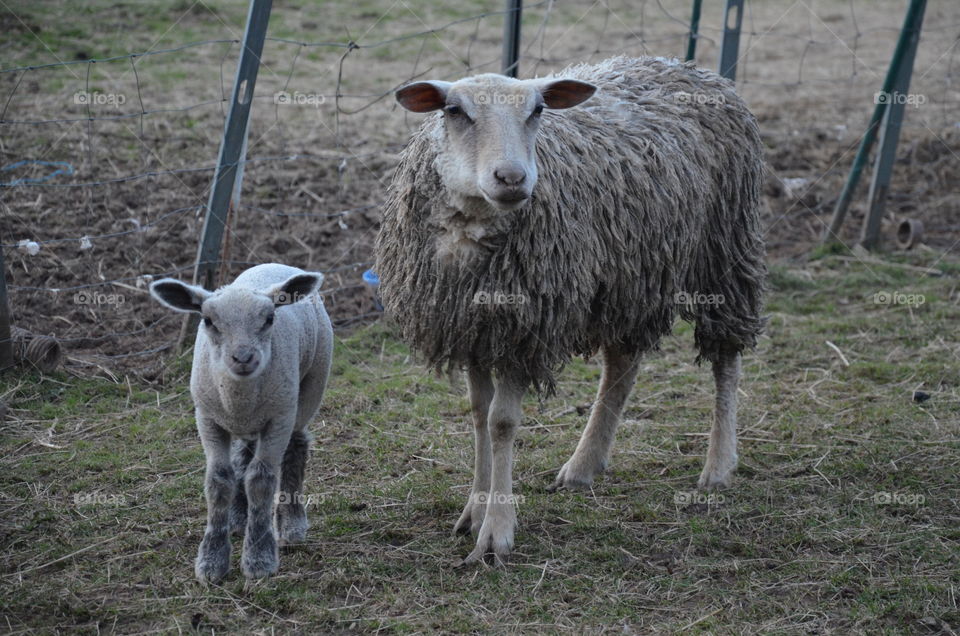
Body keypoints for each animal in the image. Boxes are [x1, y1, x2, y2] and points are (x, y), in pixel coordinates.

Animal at [149, 263, 333, 582]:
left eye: (270, 318)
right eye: (208, 320)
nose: (243, 357)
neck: (238, 395)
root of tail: (276, 264)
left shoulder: (279, 418)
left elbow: (261, 479)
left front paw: (259, 557)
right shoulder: (207, 418)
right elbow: (219, 479)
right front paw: (212, 559)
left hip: (311, 384)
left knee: (296, 446)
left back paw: (292, 525)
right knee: (243, 455)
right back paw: (237, 517)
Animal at [375, 56, 766, 565]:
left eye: (538, 110)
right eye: (455, 111)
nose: (512, 179)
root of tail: (692, 69)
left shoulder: (525, 328)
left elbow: (502, 422)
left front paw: (496, 532)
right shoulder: (475, 329)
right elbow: (479, 415)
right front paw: (474, 512)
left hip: (724, 250)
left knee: (725, 358)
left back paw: (718, 466)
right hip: (631, 272)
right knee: (623, 362)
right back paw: (584, 464)